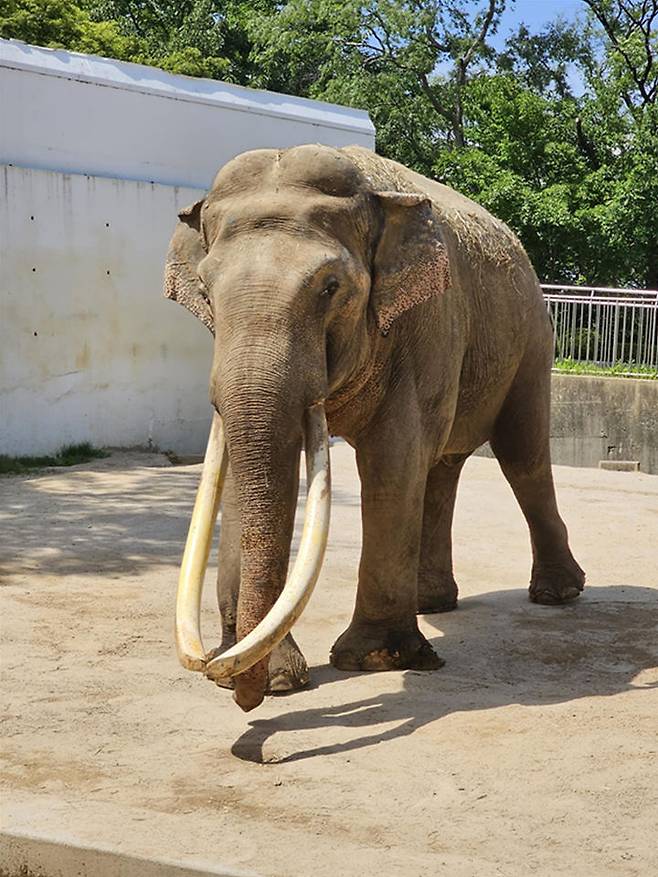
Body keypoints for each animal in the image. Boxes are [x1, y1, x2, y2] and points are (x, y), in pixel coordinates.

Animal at [164, 145, 584, 712]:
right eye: (206, 291)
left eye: (330, 287)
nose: (239, 691)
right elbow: (243, 469)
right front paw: (272, 678)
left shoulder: (422, 322)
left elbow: (391, 458)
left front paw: (373, 660)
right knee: (442, 464)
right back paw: (433, 603)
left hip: (532, 339)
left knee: (521, 455)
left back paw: (557, 594)